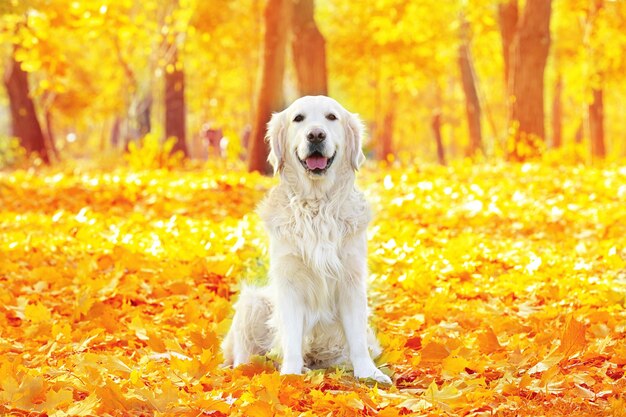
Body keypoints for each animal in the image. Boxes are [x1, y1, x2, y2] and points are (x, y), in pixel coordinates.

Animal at [221, 96, 390, 382]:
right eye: (298, 118)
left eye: (331, 117)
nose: (316, 135)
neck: (317, 205)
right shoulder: (289, 280)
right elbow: (291, 336)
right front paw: (290, 375)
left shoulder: (352, 278)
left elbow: (356, 336)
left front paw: (369, 373)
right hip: (253, 301)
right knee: (243, 354)